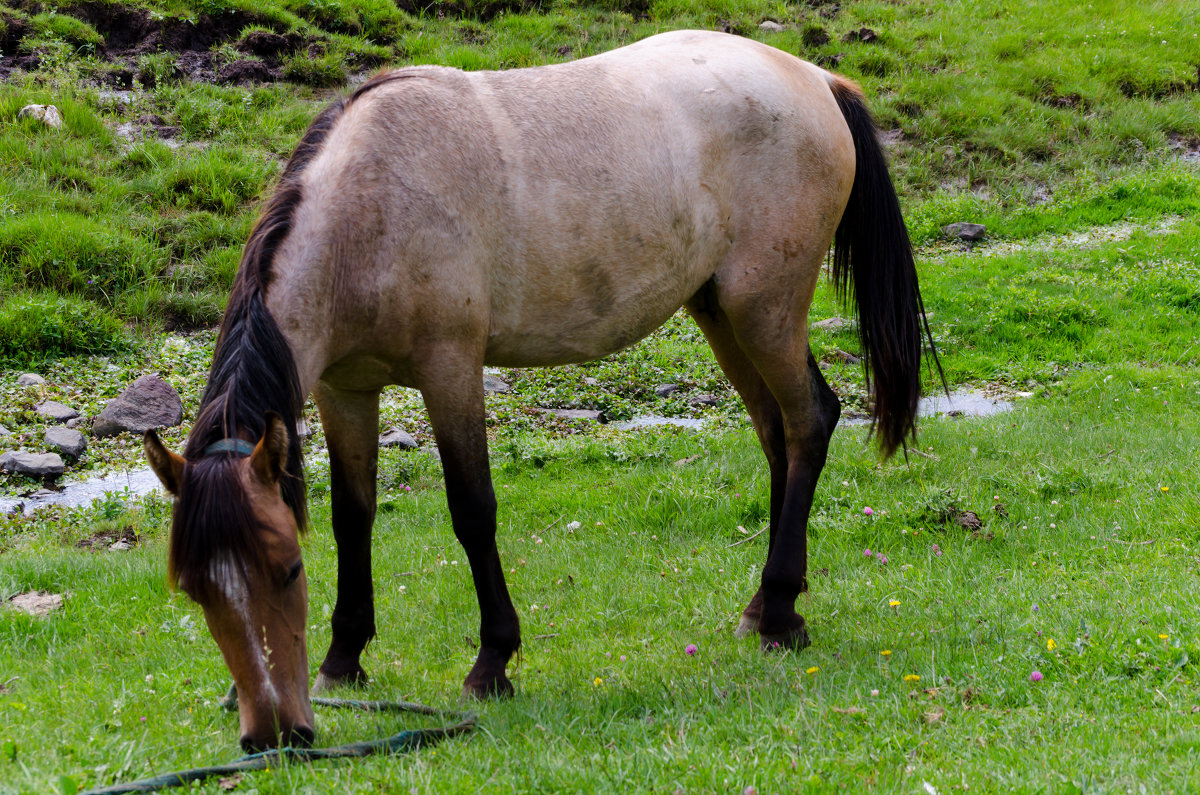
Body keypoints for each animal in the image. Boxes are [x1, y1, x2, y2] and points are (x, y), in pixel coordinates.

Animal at [142, 29, 936, 754]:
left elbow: (472, 511)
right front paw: (345, 658)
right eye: (197, 588)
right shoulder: (345, 390)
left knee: (810, 422)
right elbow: (352, 518)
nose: (274, 735)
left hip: (764, 310)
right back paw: (767, 607)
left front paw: (492, 662)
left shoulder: (450, 370)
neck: (370, 207)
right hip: (719, 311)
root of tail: (815, 78)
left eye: (285, 570)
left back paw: (778, 615)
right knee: (777, 436)